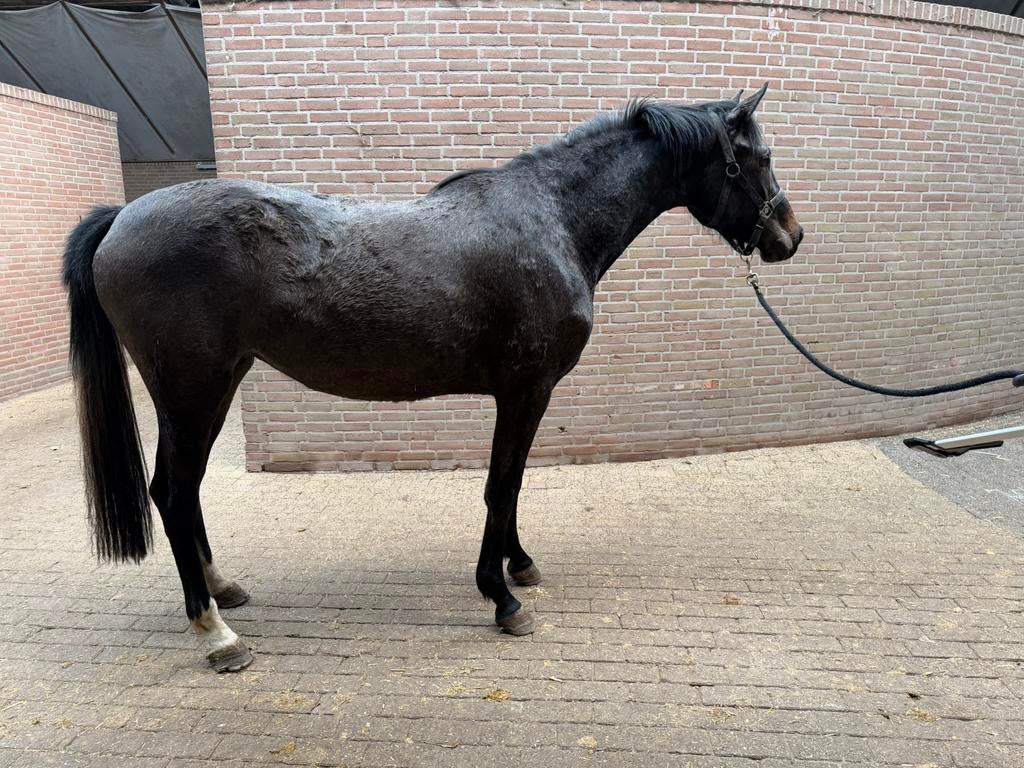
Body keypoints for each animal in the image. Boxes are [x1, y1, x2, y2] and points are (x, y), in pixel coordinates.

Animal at [63, 85, 802, 672]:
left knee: (183, 492)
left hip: (212, 390)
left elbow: (511, 484)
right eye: (757, 159)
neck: (551, 220)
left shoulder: (522, 394)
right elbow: (501, 486)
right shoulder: (527, 390)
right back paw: (217, 635)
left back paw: (223, 591)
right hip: (191, 392)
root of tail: (121, 218)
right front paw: (502, 598)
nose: (789, 237)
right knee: (171, 491)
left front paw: (518, 566)